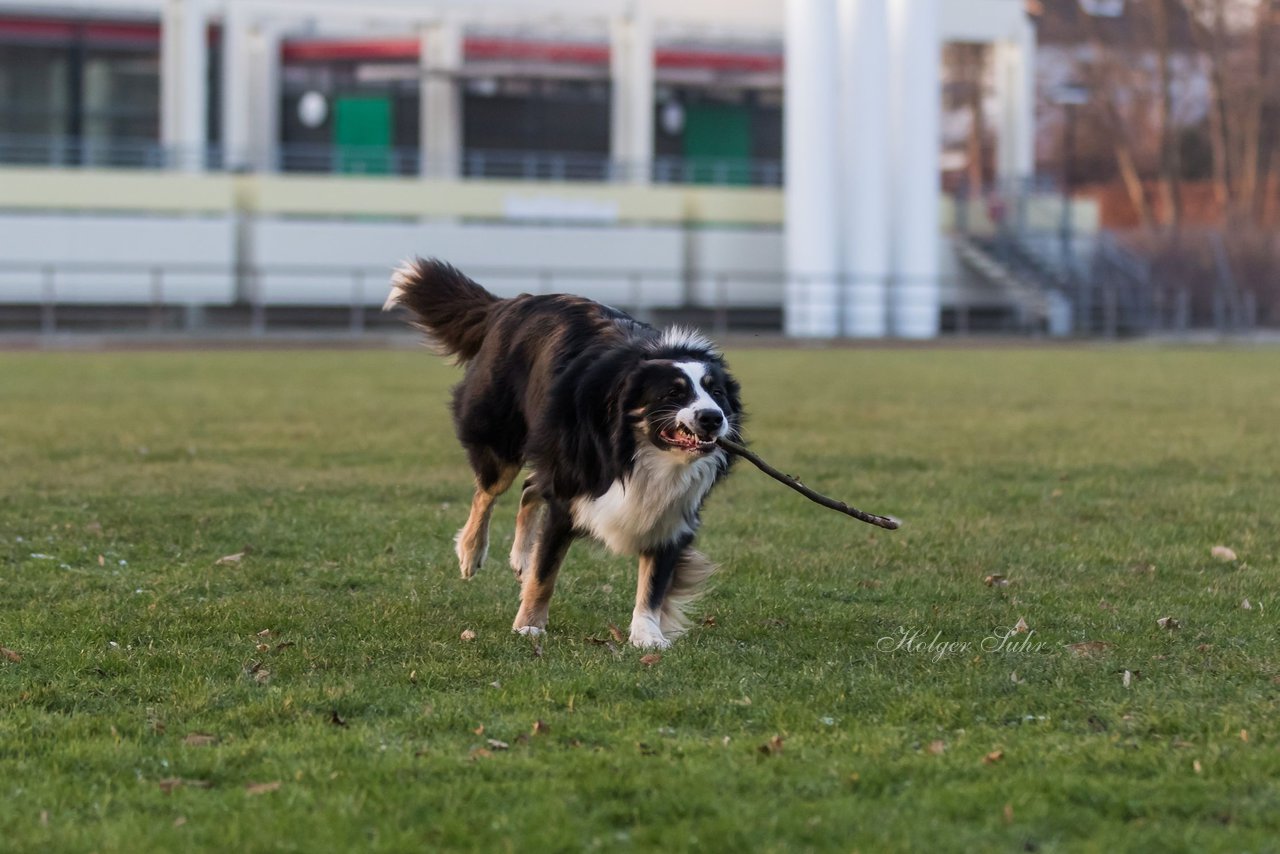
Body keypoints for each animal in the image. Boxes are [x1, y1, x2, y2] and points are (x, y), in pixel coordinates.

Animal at [381, 257, 742, 650]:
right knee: (488, 492)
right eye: (673, 394)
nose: (712, 418)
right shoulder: (572, 490)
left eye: (717, 393)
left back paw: (520, 557)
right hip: (505, 439)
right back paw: (472, 551)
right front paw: (529, 625)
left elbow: (654, 584)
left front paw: (647, 635)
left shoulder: (672, 513)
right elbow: (545, 572)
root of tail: (511, 304)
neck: (639, 452)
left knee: (529, 488)